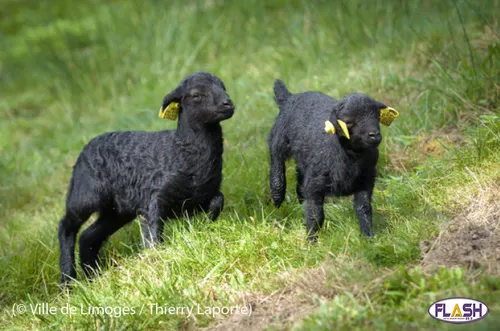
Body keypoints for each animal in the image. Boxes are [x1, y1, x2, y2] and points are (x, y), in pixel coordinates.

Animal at [58, 72, 234, 286]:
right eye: (196, 95)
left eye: (223, 87)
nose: (228, 103)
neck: (182, 150)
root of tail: (85, 148)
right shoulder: (155, 198)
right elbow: (154, 235)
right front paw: (158, 260)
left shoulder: (202, 194)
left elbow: (218, 201)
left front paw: (207, 225)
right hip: (85, 195)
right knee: (67, 227)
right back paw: (68, 281)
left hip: (117, 210)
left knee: (88, 237)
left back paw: (93, 278)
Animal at [270, 79, 398, 243]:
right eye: (348, 122)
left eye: (377, 116)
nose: (374, 135)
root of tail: (289, 97)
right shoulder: (315, 186)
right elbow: (316, 215)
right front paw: (311, 242)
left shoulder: (366, 180)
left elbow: (364, 209)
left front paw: (368, 238)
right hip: (278, 138)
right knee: (276, 162)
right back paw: (277, 197)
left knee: (300, 180)